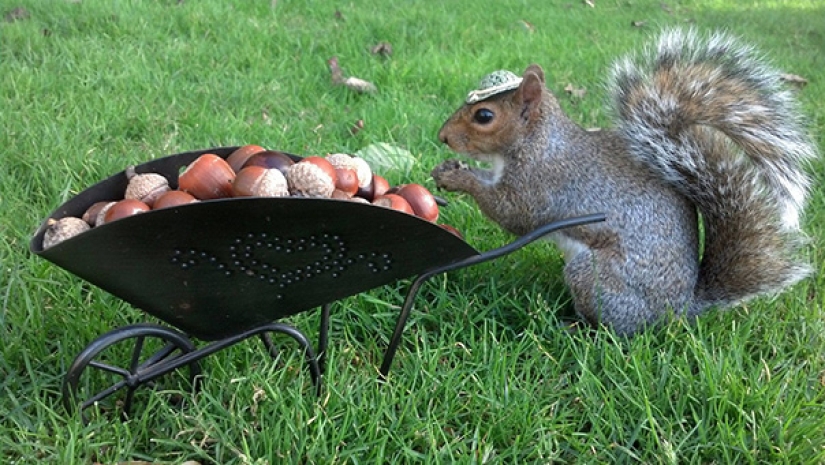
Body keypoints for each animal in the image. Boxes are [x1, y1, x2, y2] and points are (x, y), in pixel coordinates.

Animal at [431, 29, 818, 335]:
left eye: (484, 116)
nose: (442, 137)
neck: (536, 141)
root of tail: (679, 311)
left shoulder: (543, 183)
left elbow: (512, 214)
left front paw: (459, 178)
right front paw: (447, 170)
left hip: (594, 278)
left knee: (616, 331)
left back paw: (574, 327)